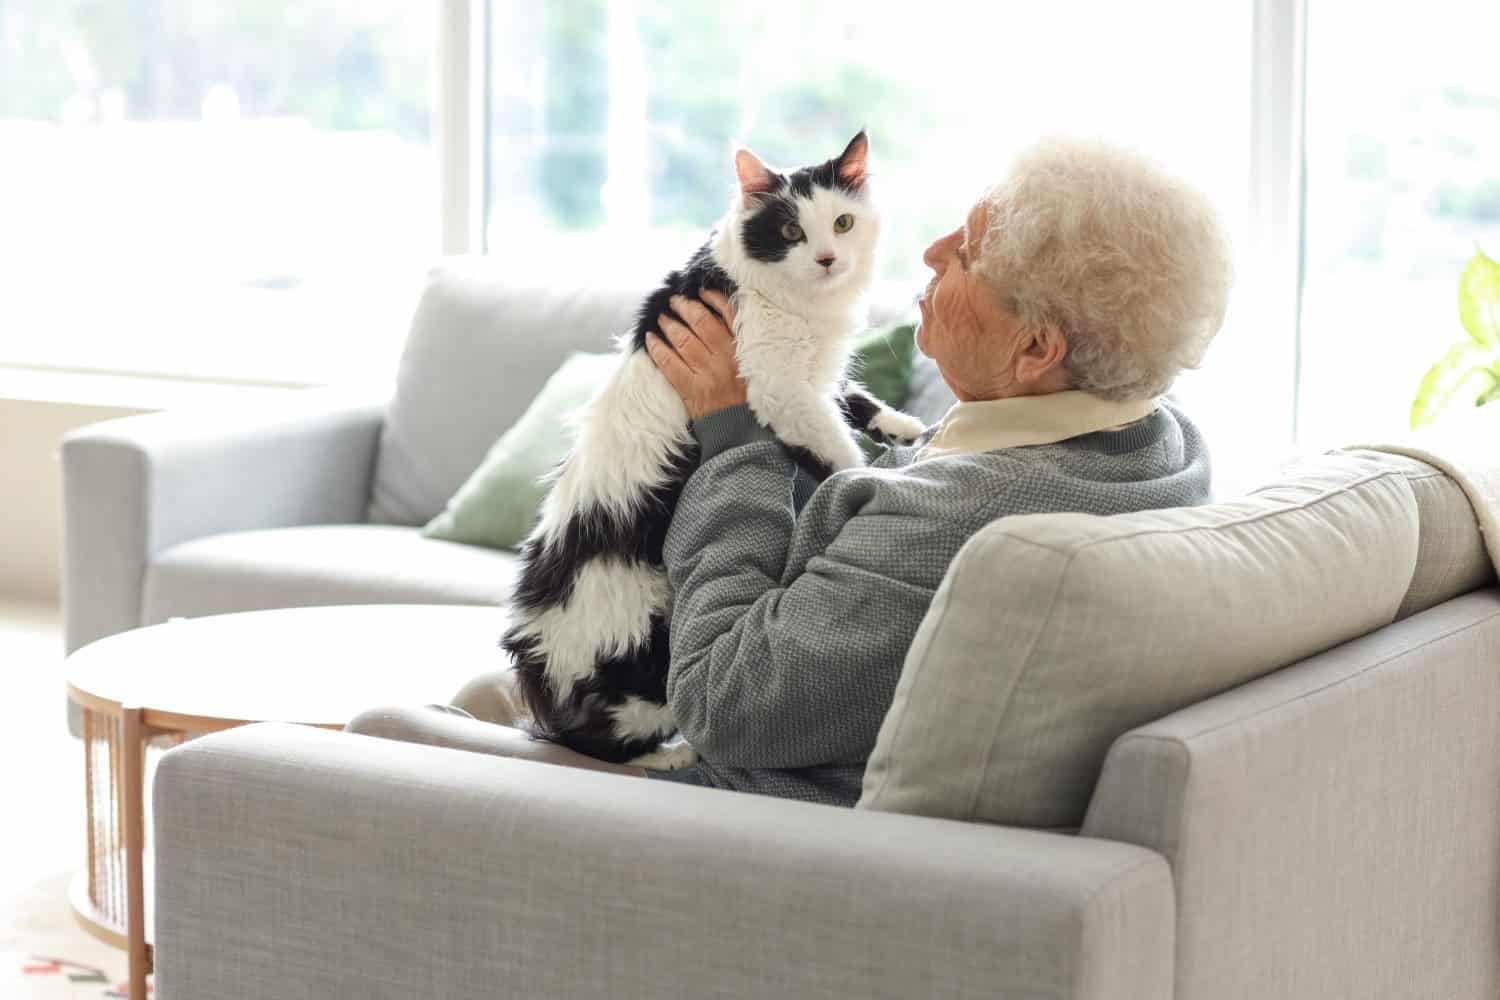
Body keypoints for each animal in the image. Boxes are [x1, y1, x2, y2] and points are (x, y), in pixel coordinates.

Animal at [504, 132, 924, 773]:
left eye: (843, 222)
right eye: (791, 231)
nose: (828, 259)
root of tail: (535, 652)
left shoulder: (811, 382)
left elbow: (852, 399)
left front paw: (905, 429)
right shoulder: (780, 389)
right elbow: (838, 447)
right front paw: (870, 475)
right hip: (648, 650)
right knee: (604, 740)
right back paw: (669, 758)